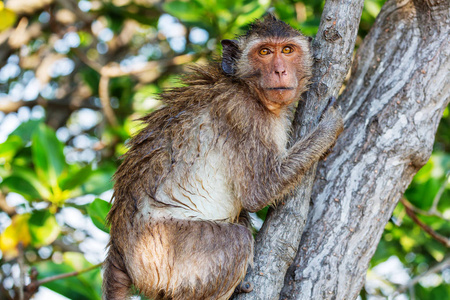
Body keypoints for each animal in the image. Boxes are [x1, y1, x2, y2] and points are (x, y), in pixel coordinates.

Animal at [103, 14, 342, 300]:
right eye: (264, 52)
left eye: (287, 50)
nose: (280, 71)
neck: (246, 87)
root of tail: (118, 247)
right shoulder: (243, 113)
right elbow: (259, 191)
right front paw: (330, 126)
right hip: (163, 251)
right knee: (236, 240)